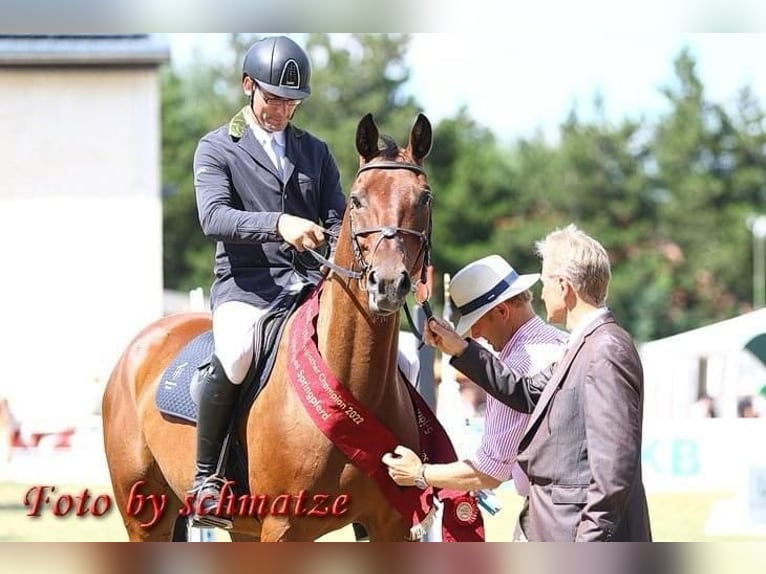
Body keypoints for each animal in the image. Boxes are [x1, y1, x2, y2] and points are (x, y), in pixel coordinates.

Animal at [102, 113, 436, 544]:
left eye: (424, 198)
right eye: (357, 200)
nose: (388, 283)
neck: (353, 384)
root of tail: (142, 344)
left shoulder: (389, 526)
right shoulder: (283, 526)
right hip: (144, 513)